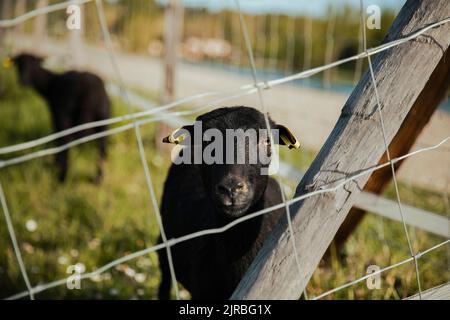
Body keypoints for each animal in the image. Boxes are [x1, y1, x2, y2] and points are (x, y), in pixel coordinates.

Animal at [11, 53, 110, 181]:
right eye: (18, 64)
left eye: (33, 65)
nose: (22, 81)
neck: (51, 84)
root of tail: (91, 96)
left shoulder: (56, 116)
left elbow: (58, 139)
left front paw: (56, 164)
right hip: (102, 121)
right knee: (101, 148)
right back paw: (98, 178)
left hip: (66, 116)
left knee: (67, 142)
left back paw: (62, 176)